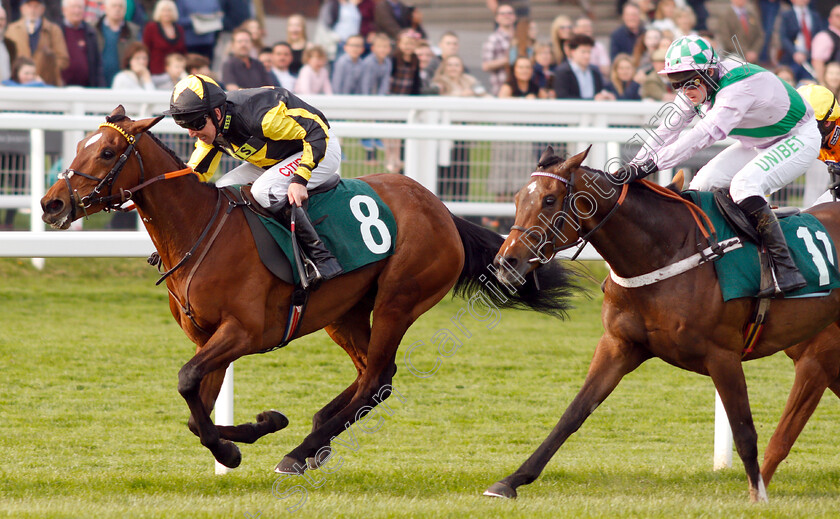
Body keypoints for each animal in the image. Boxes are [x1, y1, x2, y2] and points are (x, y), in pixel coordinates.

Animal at [39, 106, 576, 476]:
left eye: (107, 152)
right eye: (80, 145)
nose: (51, 204)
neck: (199, 231)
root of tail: (442, 209)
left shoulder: (244, 332)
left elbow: (188, 381)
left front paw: (237, 447)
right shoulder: (207, 337)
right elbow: (196, 411)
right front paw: (254, 431)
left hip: (399, 300)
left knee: (378, 377)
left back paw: (302, 450)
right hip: (345, 313)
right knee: (371, 376)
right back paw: (316, 435)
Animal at [488, 146, 840, 504]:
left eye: (549, 200)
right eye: (518, 198)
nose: (505, 263)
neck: (665, 253)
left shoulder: (724, 355)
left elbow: (743, 428)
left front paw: (758, 495)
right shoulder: (619, 345)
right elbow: (573, 413)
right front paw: (511, 480)